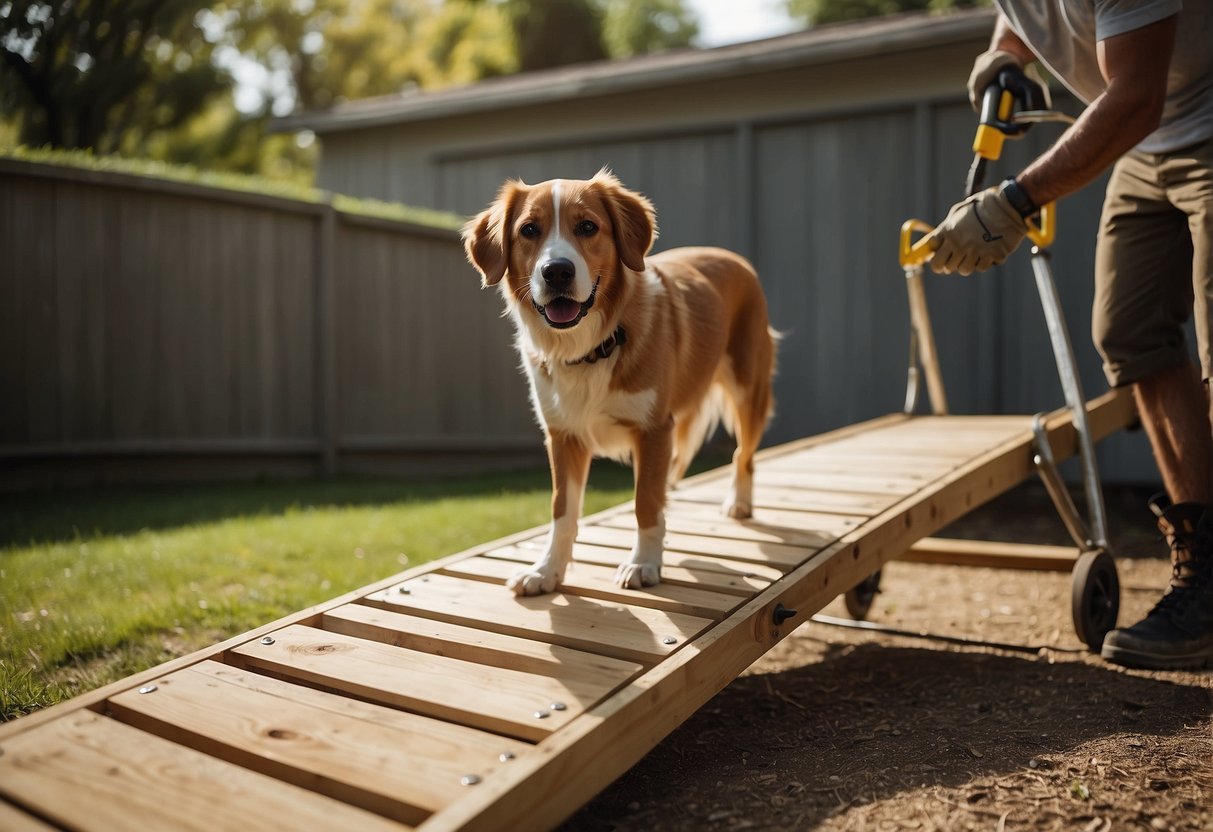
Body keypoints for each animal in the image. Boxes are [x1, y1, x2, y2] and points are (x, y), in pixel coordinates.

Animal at [463, 171, 776, 599]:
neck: (592, 346)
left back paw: (738, 503)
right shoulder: (563, 436)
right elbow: (562, 511)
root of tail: (733, 257)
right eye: (528, 230)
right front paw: (547, 570)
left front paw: (643, 563)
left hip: (748, 390)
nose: (556, 271)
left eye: (587, 226)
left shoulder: (654, 429)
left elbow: (645, 501)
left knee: (743, 453)